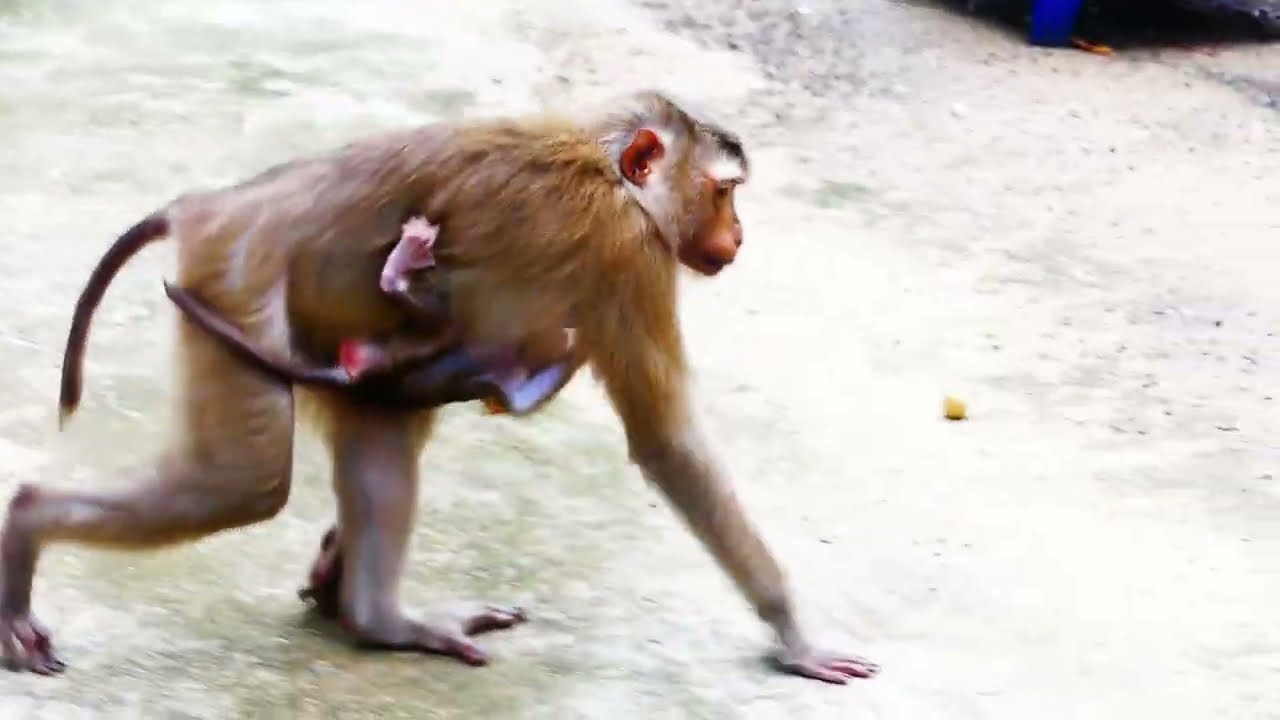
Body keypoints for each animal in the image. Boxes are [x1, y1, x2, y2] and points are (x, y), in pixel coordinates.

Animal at [0, 90, 878, 684]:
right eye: (724, 192)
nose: (740, 235)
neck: (608, 170)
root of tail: (209, 206)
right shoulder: (628, 251)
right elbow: (668, 442)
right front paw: (795, 635)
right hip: (237, 282)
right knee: (242, 482)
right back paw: (28, 522)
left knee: (381, 427)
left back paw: (379, 618)